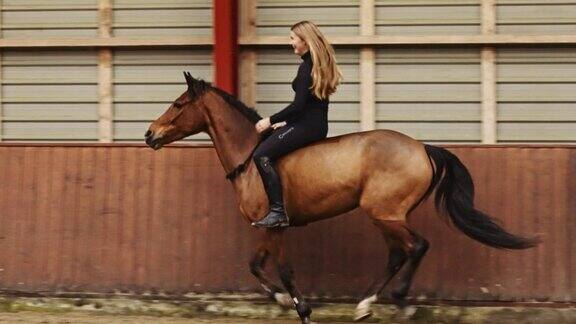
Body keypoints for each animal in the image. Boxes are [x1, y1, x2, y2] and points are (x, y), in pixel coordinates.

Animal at [145, 73, 540, 324]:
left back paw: (401, 302)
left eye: (178, 104)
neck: (250, 157)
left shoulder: (276, 227)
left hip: (384, 212)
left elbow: (283, 270)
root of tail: (421, 147)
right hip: (387, 215)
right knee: (398, 254)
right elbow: (255, 265)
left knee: (416, 247)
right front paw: (280, 300)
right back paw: (365, 305)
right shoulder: (267, 229)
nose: (150, 134)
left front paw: (303, 311)